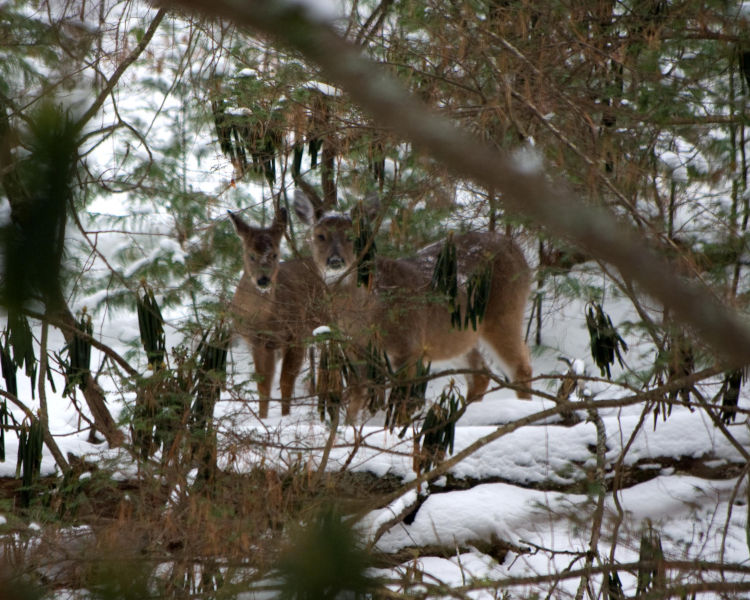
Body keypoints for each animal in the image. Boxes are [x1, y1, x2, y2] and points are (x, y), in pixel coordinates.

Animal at [229, 206, 328, 418]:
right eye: (251, 255)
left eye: (274, 254)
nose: (263, 280)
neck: (264, 319)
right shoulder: (258, 342)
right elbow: (264, 386)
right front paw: (262, 417)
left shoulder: (296, 335)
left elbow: (286, 382)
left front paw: (285, 416)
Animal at [294, 185, 536, 420]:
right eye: (320, 235)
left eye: (352, 236)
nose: (335, 260)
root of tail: (517, 250)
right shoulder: (357, 352)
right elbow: (356, 399)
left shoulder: (408, 346)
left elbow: (400, 405)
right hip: (456, 334)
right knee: (481, 373)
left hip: (505, 312)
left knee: (520, 367)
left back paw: (522, 411)